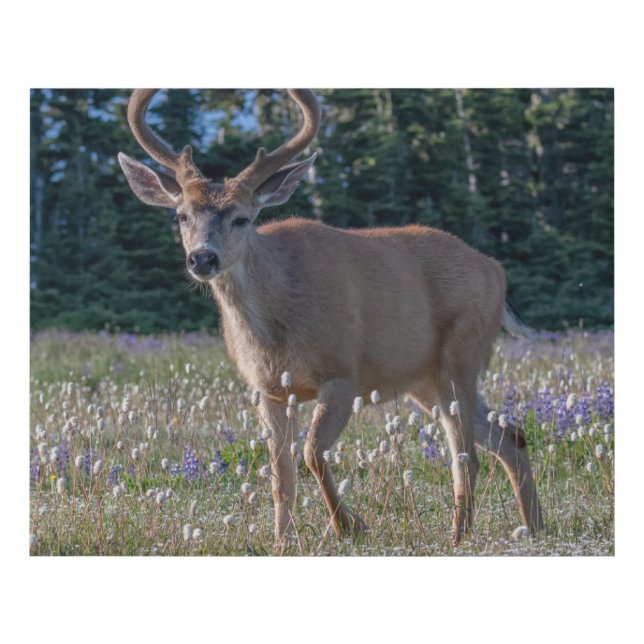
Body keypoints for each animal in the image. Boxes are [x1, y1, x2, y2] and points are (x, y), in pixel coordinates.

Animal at [118, 88, 544, 546]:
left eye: (242, 218)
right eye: (181, 215)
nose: (202, 258)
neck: (275, 327)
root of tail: (496, 271)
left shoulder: (343, 374)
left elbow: (311, 453)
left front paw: (349, 526)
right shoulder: (268, 390)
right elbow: (281, 474)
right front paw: (282, 541)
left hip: (460, 356)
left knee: (466, 456)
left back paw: (460, 536)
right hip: (425, 381)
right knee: (510, 436)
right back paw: (534, 525)